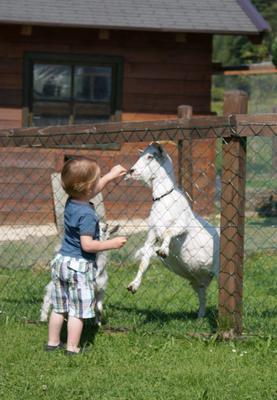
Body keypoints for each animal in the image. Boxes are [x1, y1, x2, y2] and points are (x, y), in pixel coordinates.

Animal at [125, 142, 218, 318]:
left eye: (150, 156)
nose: (131, 171)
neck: (164, 198)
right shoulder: (152, 234)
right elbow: (144, 262)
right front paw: (133, 285)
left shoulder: (182, 224)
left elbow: (168, 232)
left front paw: (163, 251)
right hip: (197, 280)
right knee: (203, 295)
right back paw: (200, 317)